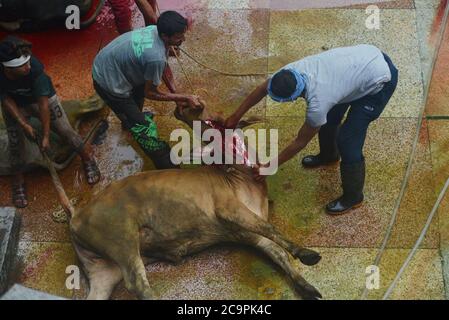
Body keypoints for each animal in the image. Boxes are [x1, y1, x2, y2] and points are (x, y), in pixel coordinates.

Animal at [70, 104, 322, 300]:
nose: (183, 108)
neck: (243, 176)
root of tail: (77, 215)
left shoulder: (248, 232)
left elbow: (277, 251)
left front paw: (308, 287)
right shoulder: (228, 208)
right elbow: (270, 229)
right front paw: (306, 254)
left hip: (102, 268)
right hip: (121, 237)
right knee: (136, 282)